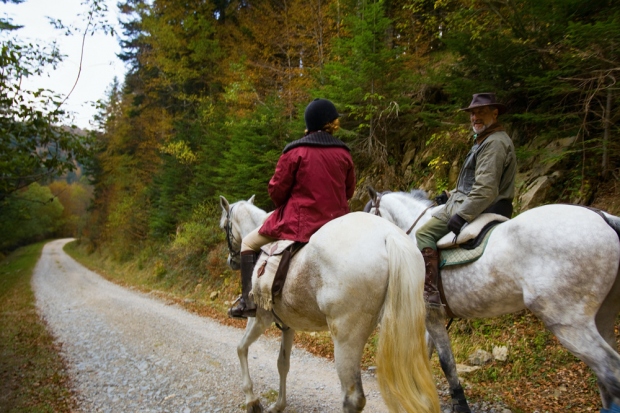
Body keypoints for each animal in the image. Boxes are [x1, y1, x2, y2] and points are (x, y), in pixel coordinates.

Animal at [218, 196, 440, 412]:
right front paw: (279, 405)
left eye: (223, 226)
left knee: (353, 399)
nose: (231, 261)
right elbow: (283, 363)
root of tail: (389, 235)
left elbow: (241, 348)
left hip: (346, 337)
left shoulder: (260, 318)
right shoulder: (288, 325)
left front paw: (252, 400)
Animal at [364, 187, 620, 412]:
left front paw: (459, 404)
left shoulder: (431, 315)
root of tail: (603, 217)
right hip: (602, 318)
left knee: (610, 372)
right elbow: (425, 356)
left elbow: (446, 362)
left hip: (568, 323)